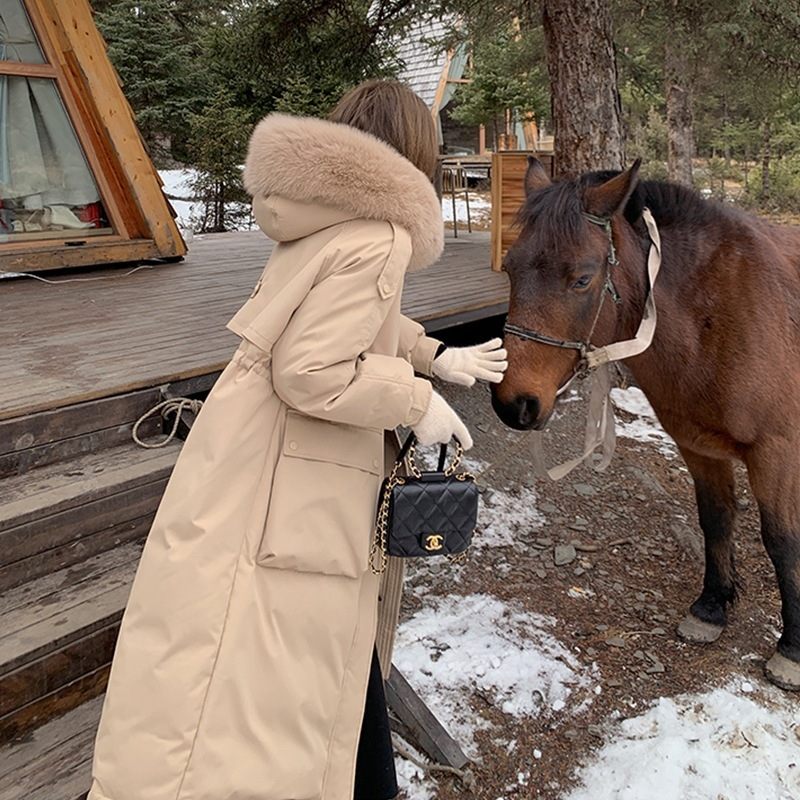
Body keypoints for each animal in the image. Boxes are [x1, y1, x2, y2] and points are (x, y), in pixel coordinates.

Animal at [490, 156, 800, 688]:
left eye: (582, 278)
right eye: (510, 269)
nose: (515, 404)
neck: (721, 314)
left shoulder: (775, 452)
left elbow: (781, 540)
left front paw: (793, 648)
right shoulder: (698, 446)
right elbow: (715, 520)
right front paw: (711, 608)